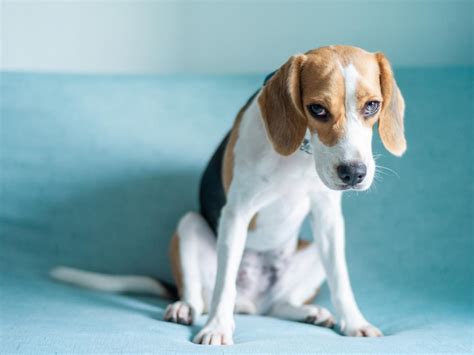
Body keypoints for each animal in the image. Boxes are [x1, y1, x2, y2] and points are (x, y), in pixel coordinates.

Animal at [52, 46, 408, 346]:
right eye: (317, 109)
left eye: (372, 106)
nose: (354, 173)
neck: (300, 153)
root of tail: (250, 302)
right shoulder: (237, 213)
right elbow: (225, 284)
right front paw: (217, 328)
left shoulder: (328, 219)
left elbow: (341, 279)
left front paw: (354, 322)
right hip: (189, 225)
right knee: (200, 295)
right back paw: (185, 308)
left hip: (308, 253)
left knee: (276, 305)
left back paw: (308, 312)